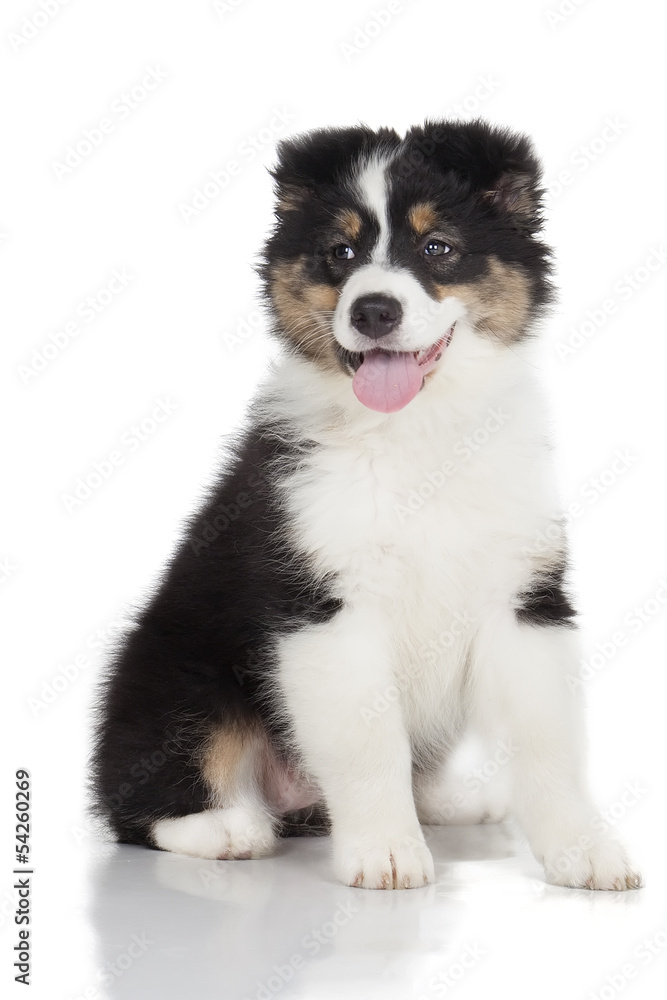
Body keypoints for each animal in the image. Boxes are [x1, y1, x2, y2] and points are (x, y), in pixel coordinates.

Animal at [92, 119, 640, 892]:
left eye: (437, 247)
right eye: (340, 253)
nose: (372, 310)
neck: (416, 437)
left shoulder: (523, 594)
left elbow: (548, 737)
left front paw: (581, 849)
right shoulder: (325, 603)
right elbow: (367, 739)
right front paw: (384, 850)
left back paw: (446, 799)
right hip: (177, 673)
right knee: (139, 797)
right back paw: (223, 827)